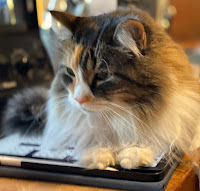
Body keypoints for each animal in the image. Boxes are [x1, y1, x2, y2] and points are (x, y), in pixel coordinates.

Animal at [1, 7, 200, 169]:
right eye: (70, 73)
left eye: (102, 76)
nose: (78, 99)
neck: (119, 115)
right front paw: (99, 154)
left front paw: (134, 153)